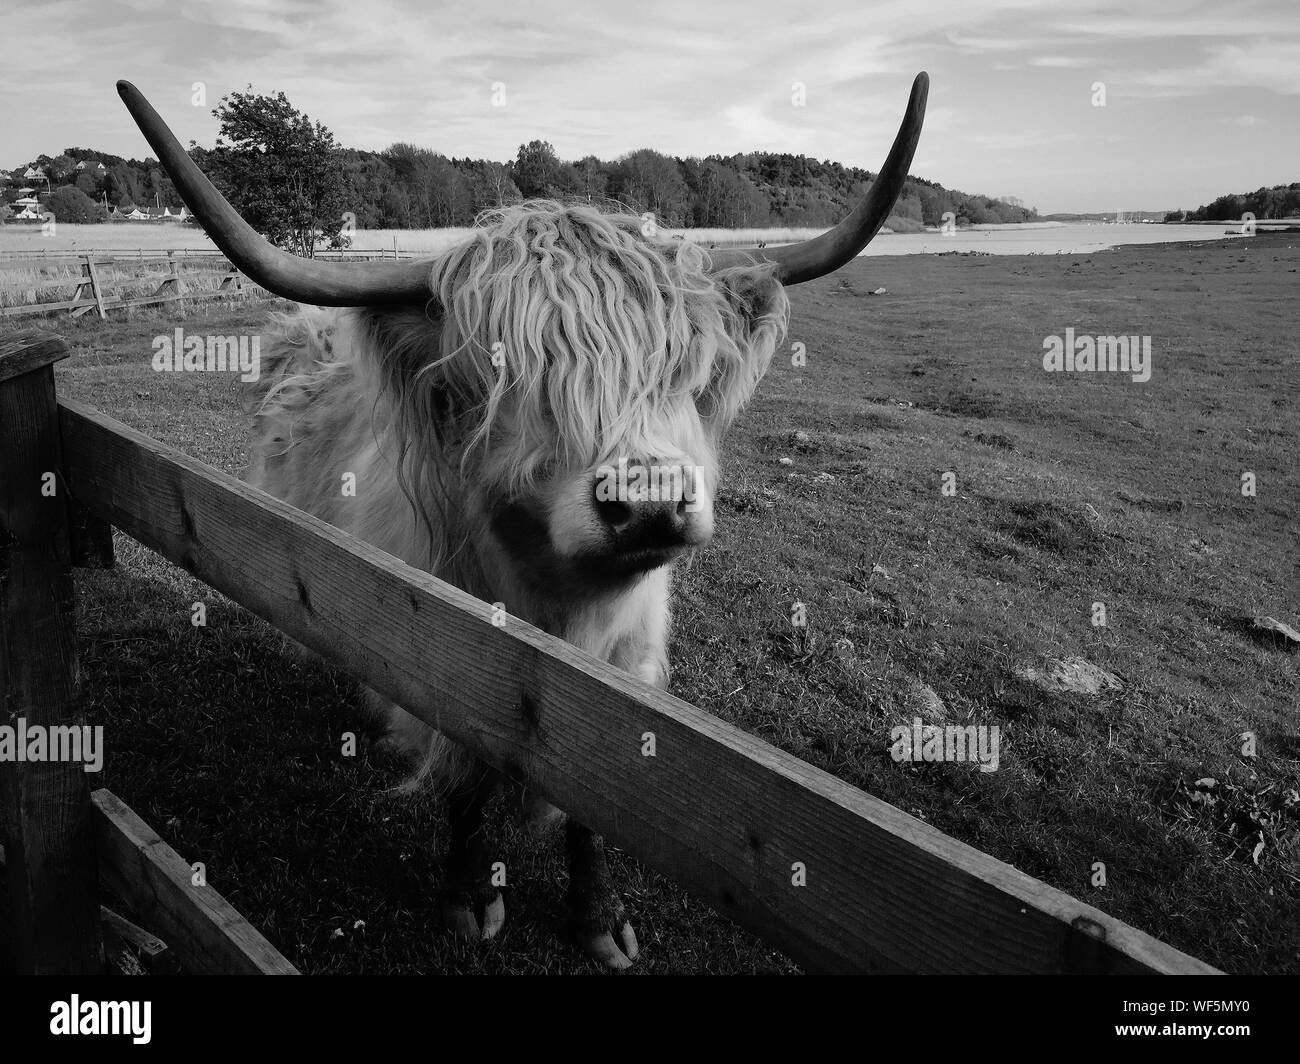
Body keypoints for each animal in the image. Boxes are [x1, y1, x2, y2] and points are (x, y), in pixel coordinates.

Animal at [117, 72, 927, 969]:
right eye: (510, 371)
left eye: (683, 362)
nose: (649, 501)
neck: (561, 611)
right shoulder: (445, 653)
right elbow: (465, 779)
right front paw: (469, 898)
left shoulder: (631, 668)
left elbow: (593, 803)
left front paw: (598, 917)